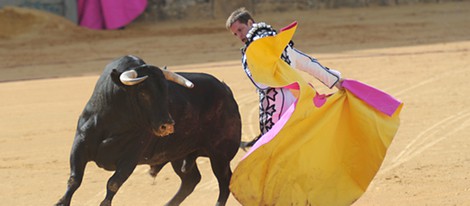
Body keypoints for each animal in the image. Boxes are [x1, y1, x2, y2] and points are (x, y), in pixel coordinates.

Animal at [55, 55, 242, 206]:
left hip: (220, 155)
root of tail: (226, 91)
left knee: (224, 182)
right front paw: (61, 202)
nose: (167, 125)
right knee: (191, 180)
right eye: (143, 92)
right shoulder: (80, 144)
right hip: (179, 155)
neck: (114, 121)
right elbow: (74, 180)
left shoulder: (130, 157)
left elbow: (113, 183)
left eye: (166, 91)